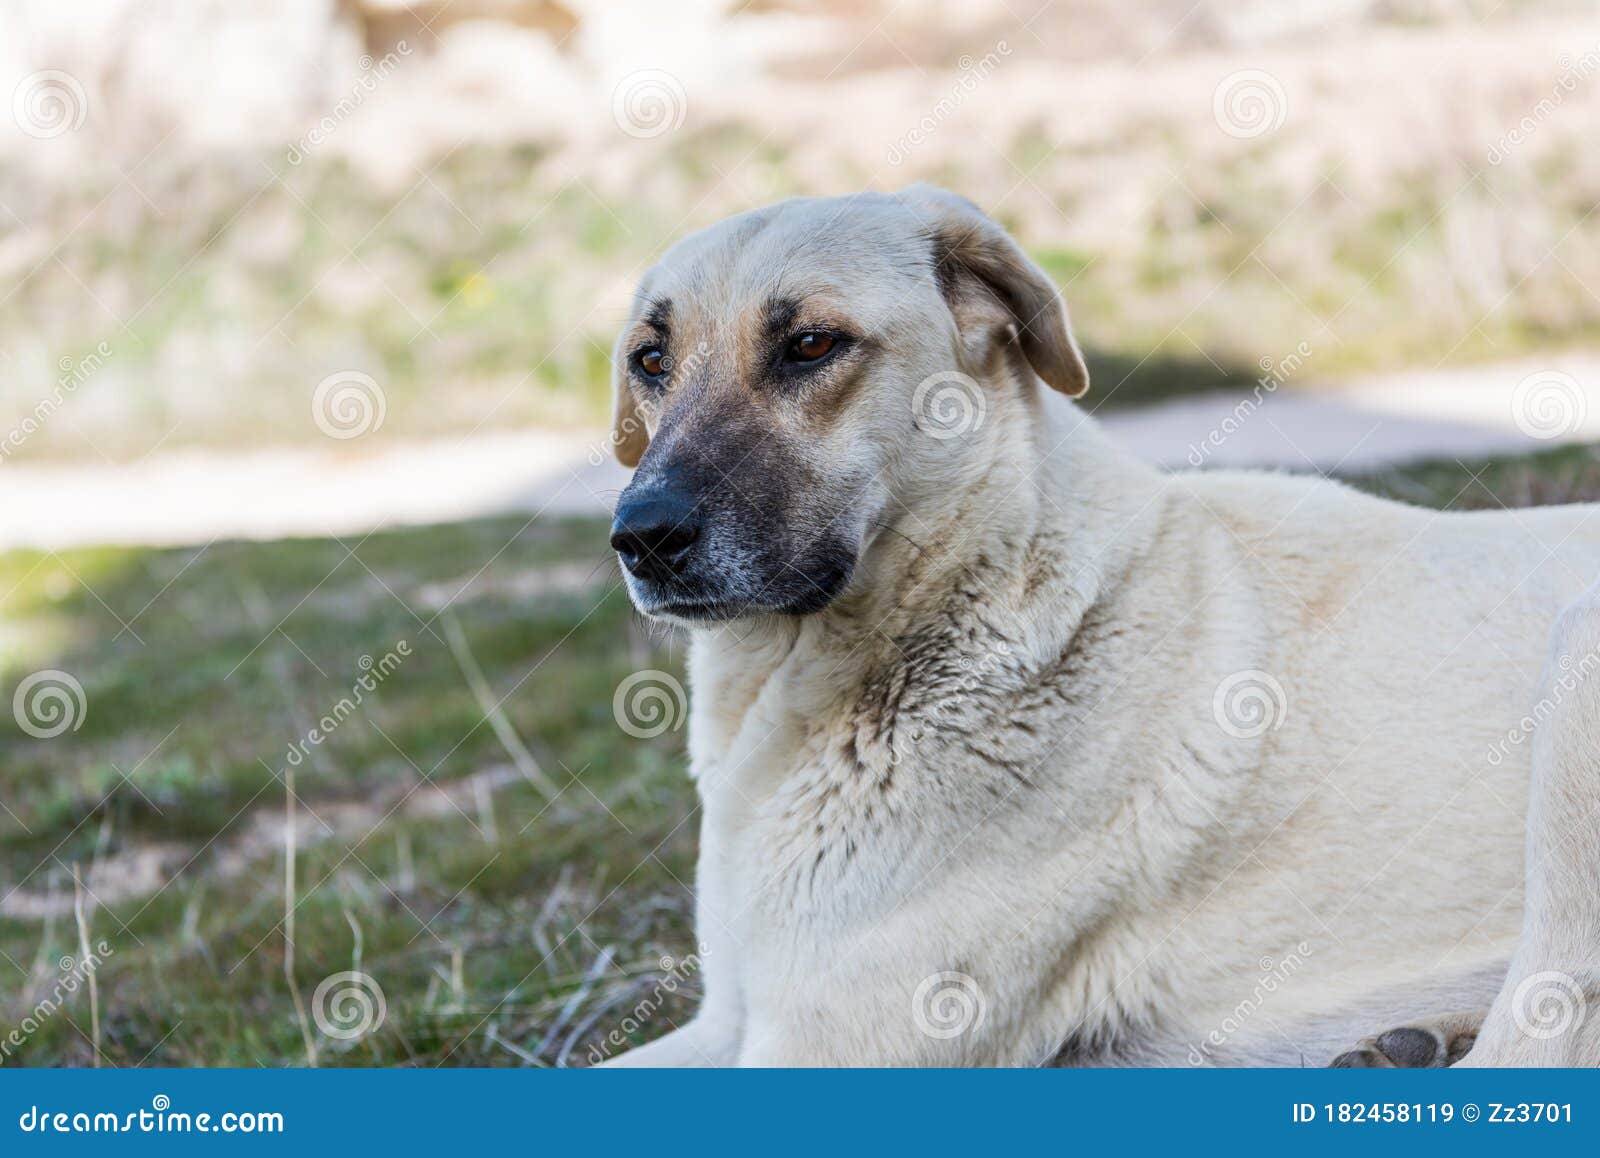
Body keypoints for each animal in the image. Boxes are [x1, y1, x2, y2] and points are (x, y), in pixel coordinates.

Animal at [598, 187, 1600, 1068]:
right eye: (650, 361)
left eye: (810, 344)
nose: (642, 536)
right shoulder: (728, 1019)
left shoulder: (829, 1044)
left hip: (1576, 674)